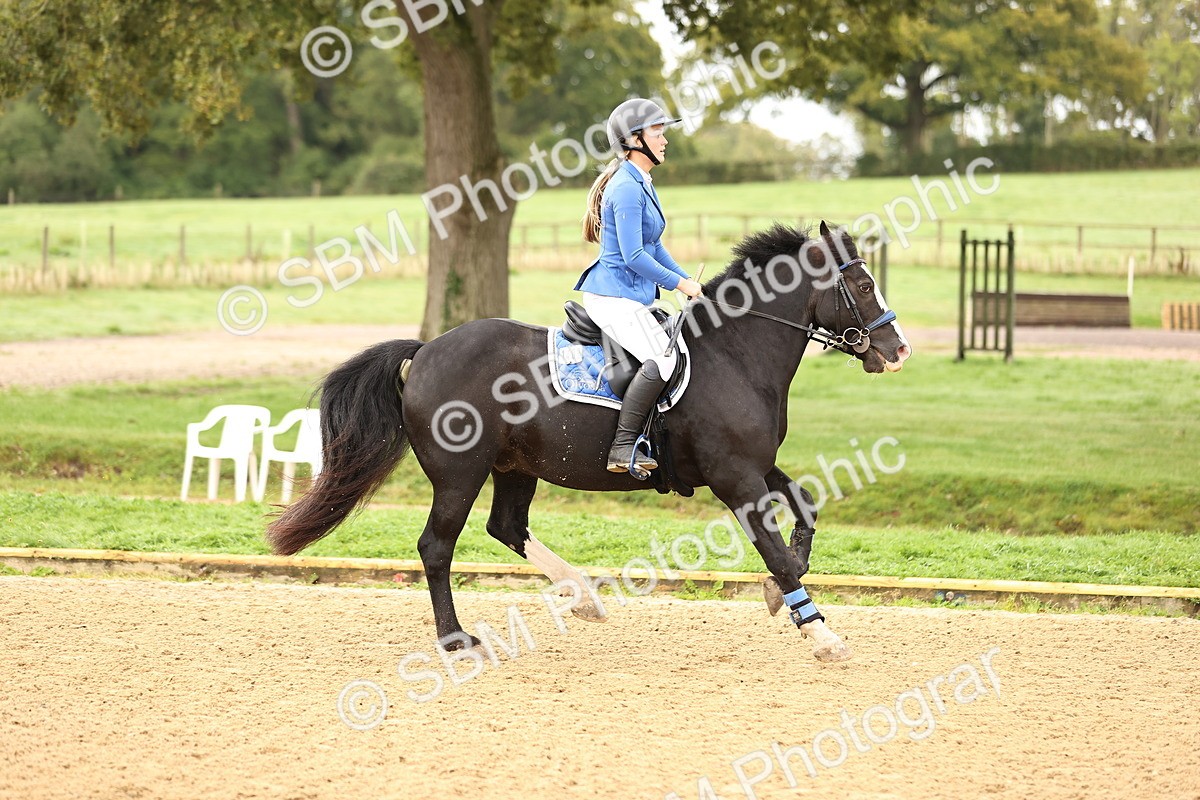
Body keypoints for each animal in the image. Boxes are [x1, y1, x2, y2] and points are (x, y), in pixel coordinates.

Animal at [266, 221, 911, 662]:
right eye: (861, 284)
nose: (898, 350)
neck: (736, 354)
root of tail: (426, 351)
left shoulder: (754, 466)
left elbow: (805, 507)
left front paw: (783, 592)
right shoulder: (735, 478)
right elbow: (773, 547)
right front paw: (820, 631)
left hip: (514, 465)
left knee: (506, 526)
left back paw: (584, 597)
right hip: (459, 473)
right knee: (437, 546)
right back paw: (455, 638)